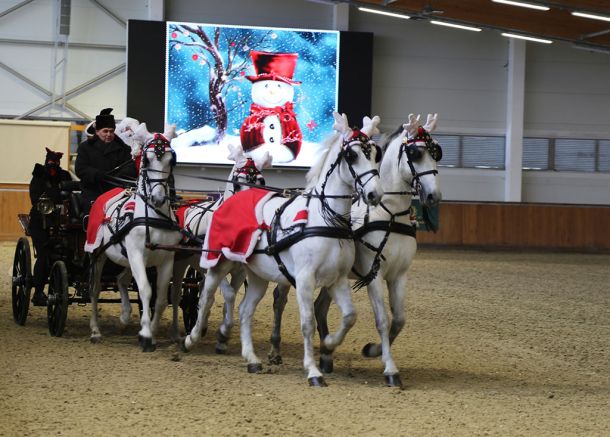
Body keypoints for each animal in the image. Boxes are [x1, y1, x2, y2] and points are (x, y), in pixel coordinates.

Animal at [86, 126, 180, 350]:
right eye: (146, 160)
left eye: (171, 160)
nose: (158, 198)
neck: (154, 216)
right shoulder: (137, 254)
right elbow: (145, 289)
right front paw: (145, 334)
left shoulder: (167, 258)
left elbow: (161, 298)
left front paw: (151, 333)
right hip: (98, 255)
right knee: (94, 290)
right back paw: (95, 330)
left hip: (127, 259)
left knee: (121, 279)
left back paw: (124, 319)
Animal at [169, 143, 268, 344]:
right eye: (238, 182)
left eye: (261, 183)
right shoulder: (213, 267)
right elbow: (228, 294)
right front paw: (224, 329)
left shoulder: (239, 272)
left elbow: (229, 295)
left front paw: (222, 330)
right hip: (180, 262)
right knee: (176, 295)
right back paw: (176, 332)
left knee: (202, 291)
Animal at [179, 112, 384, 384]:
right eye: (352, 155)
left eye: (375, 154)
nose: (374, 194)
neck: (324, 220)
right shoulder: (305, 279)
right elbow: (307, 323)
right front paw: (313, 371)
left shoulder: (336, 279)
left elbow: (350, 316)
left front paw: (329, 344)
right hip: (217, 264)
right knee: (207, 297)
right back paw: (191, 339)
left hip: (256, 275)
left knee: (245, 310)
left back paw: (251, 359)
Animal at [274, 111, 436, 384]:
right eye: (415, 153)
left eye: (436, 153)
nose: (434, 195)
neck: (391, 214)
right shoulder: (374, 274)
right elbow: (382, 320)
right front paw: (389, 368)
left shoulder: (399, 276)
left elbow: (399, 320)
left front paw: (372, 350)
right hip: (290, 274)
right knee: (280, 299)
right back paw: (276, 351)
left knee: (319, 308)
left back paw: (326, 355)